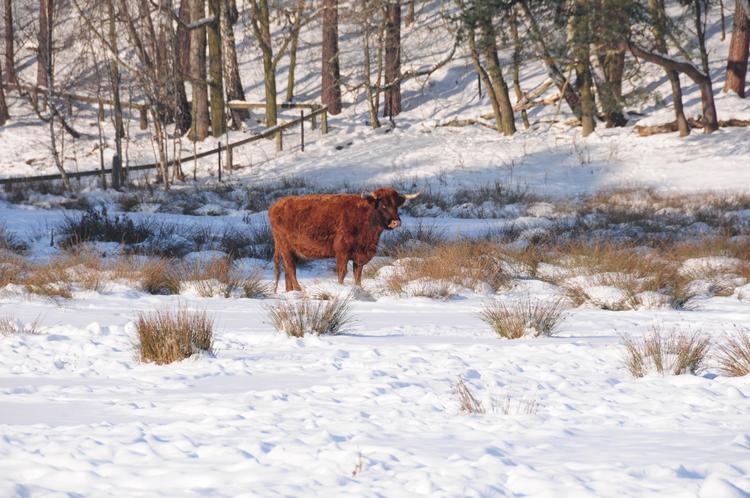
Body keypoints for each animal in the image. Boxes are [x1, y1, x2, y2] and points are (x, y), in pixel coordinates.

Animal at [270, 189, 424, 294]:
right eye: (383, 205)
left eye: (396, 206)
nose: (395, 222)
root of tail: (276, 205)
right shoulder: (342, 252)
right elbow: (342, 272)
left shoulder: (359, 256)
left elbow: (358, 275)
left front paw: (358, 289)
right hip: (285, 247)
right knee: (291, 268)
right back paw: (299, 290)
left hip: (290, 251)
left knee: (287, 270)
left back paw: (290, 292)